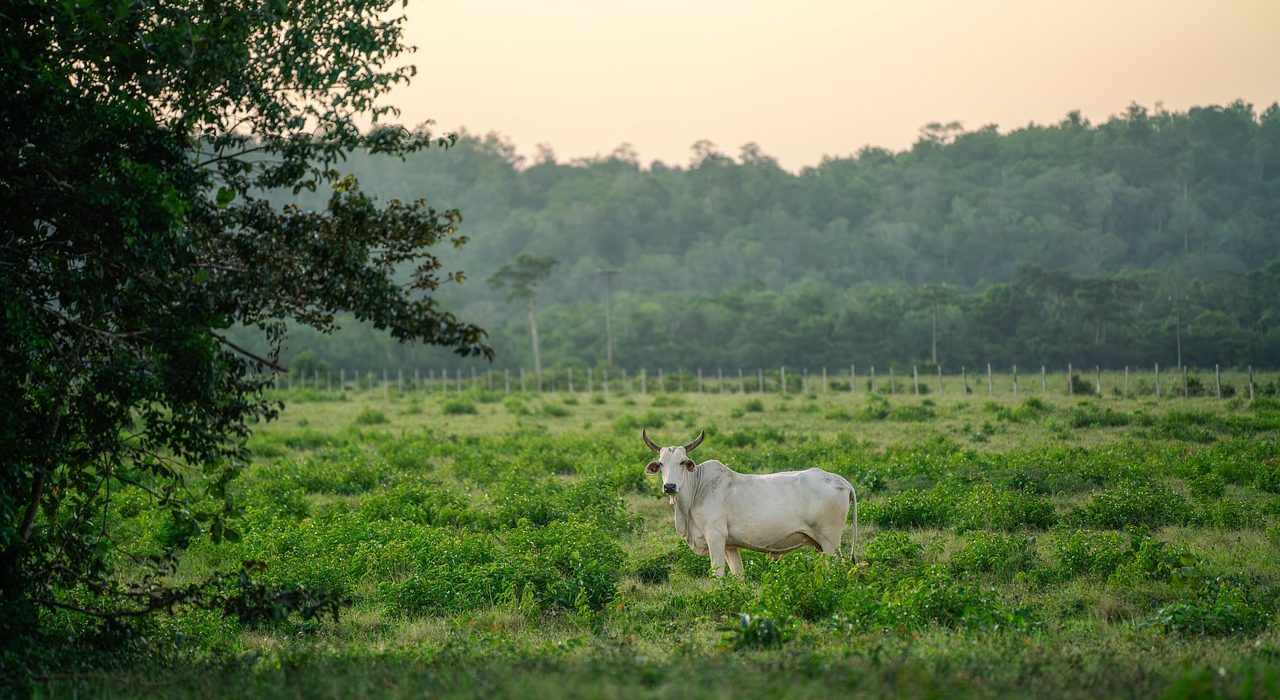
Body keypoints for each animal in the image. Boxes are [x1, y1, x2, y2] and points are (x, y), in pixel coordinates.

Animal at [642, 428, 858, 577]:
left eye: (682, 462)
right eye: (661, 464)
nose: (669, 486)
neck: (697, 489)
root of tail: (841, 481)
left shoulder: (715, 537)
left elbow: (717, 575)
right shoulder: (730, 546)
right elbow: (738, 576)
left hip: (830, 543)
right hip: (819, 545)